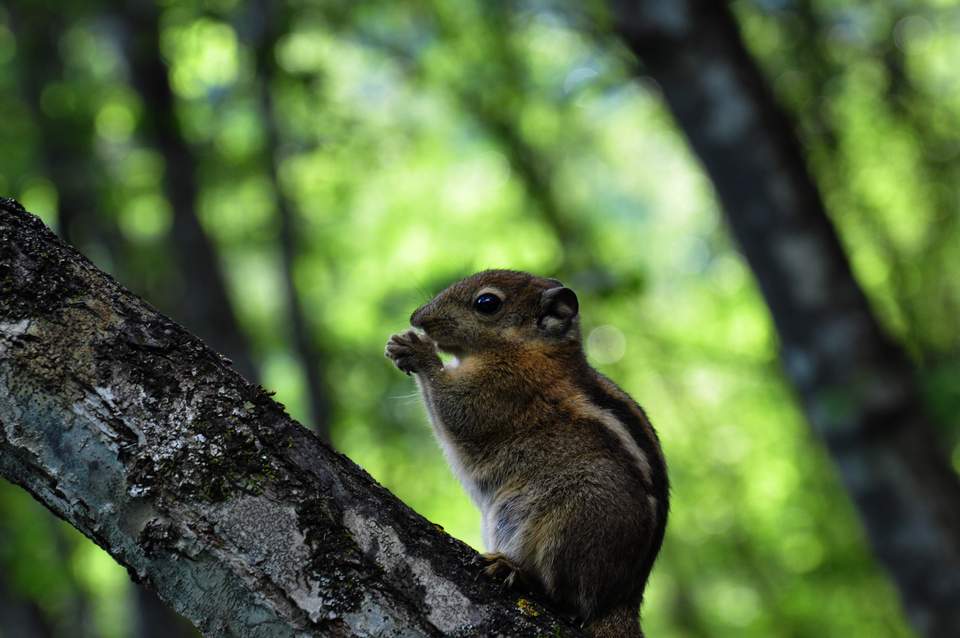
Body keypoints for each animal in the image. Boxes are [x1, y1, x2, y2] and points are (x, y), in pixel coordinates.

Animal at [382, 272, 668, 638]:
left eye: (487, 303)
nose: (417, 318)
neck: (530, 349)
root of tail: (621, 602)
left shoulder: (499, 388)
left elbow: (454, 409)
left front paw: (416, 349)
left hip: (573, 523)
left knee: (566, 596)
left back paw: (513, 571)